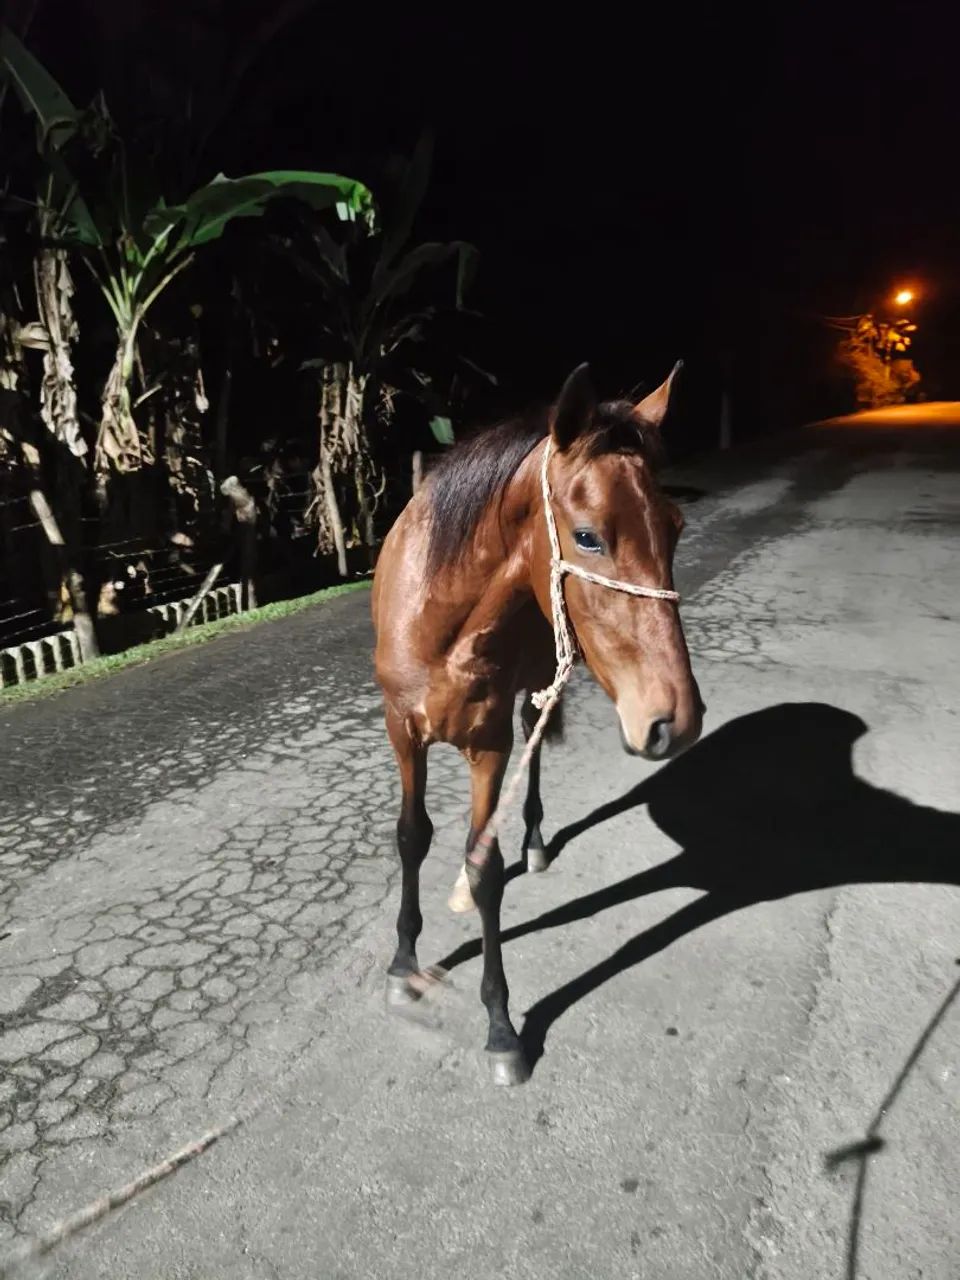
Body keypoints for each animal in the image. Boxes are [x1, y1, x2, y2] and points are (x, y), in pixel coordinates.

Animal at [371, 361, 703, 1084]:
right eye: (588, 536)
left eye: (675, 527)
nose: (676, 719)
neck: (439, 621)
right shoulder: (401, 731)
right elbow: (412, 837)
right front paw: (404, 965)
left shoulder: (487, 742)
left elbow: (483, 869)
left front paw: (501, 1027)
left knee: (537, 741)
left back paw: (535, 839)